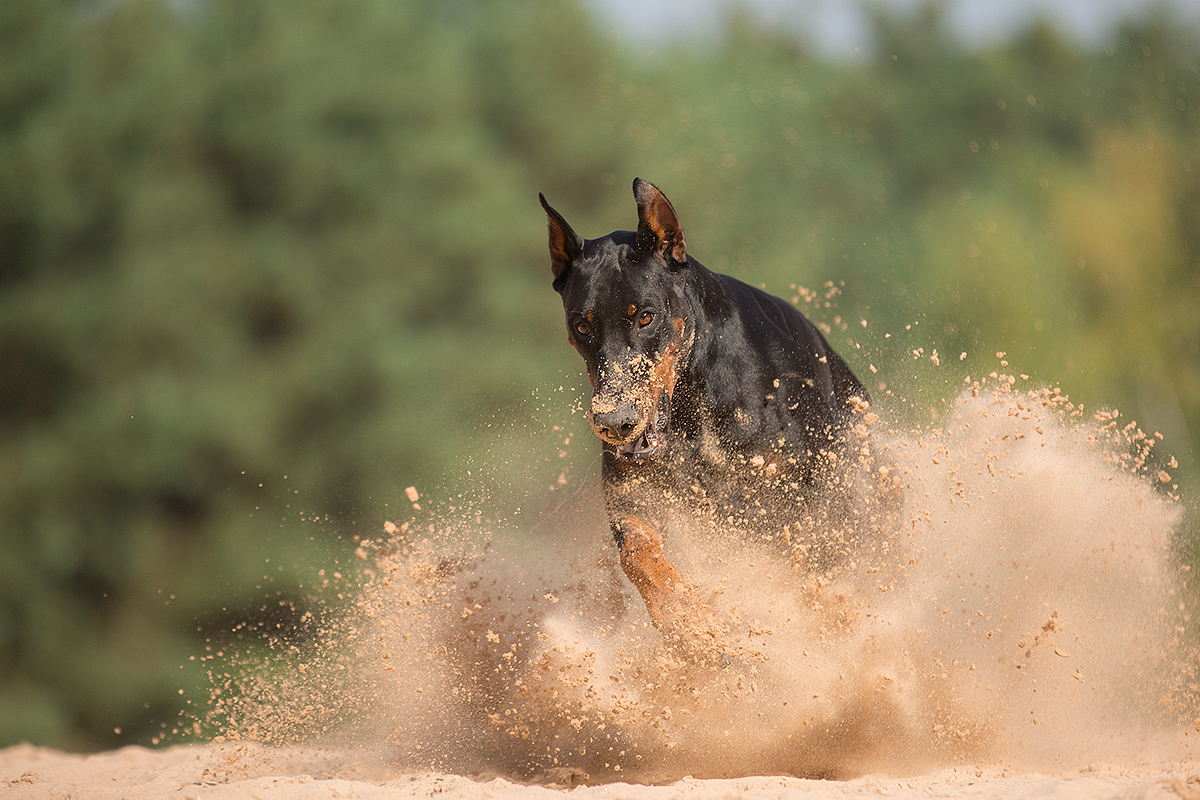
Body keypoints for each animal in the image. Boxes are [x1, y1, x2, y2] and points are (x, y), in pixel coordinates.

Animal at [540, 181, 888, 662]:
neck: (692, 409)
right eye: (582, 326)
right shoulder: (634, 499)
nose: (614, 421)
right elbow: (638, 555)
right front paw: (691, 628)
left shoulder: (803, 501)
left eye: (645, 315)